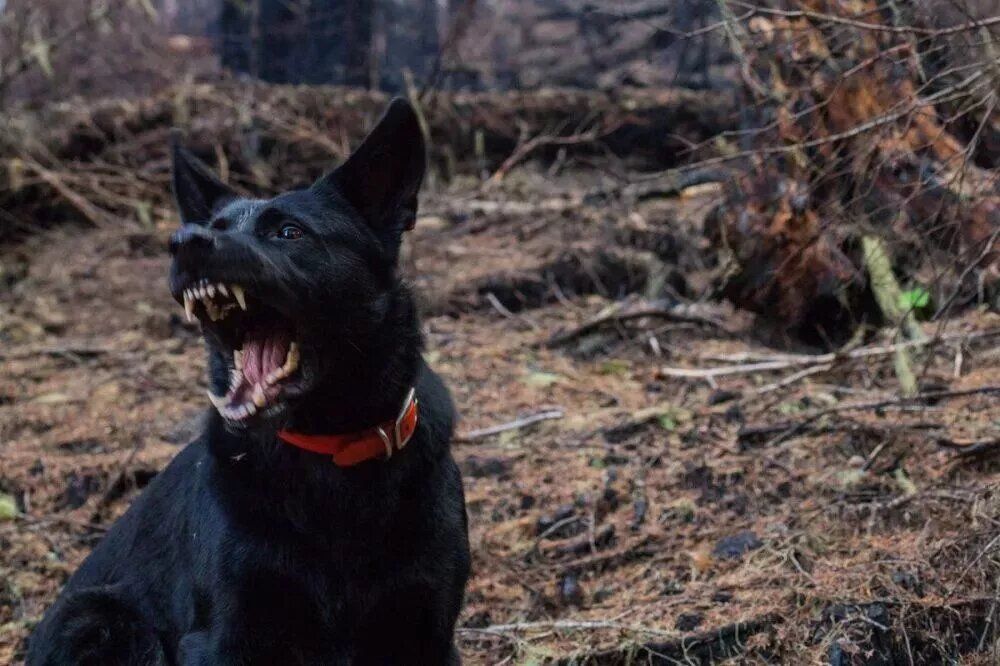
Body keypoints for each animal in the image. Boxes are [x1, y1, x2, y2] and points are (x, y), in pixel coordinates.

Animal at [26, 100, 472, 664]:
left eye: (289, 232)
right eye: (213, 226)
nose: (184, 243)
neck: (331, 453)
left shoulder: (427, 632)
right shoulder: (223, 636)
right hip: (102, 621)